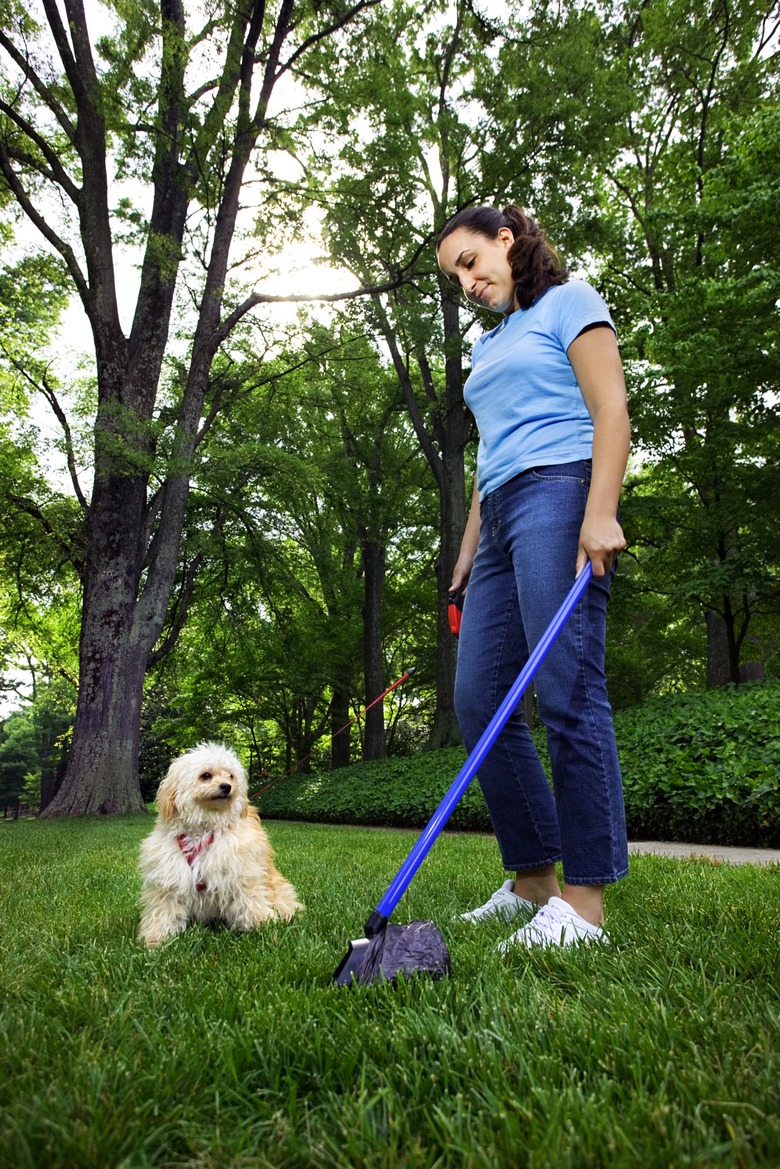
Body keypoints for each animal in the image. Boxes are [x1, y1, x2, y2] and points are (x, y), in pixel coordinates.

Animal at [137, 743, 301, 944]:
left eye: (230, 775)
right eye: (206, 775)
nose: (227, 786)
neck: (206, 828)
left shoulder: (241, 874)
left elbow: (251, 902)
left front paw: (263, 929)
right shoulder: (169, 879)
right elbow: (162, 912)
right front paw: (154, 940)